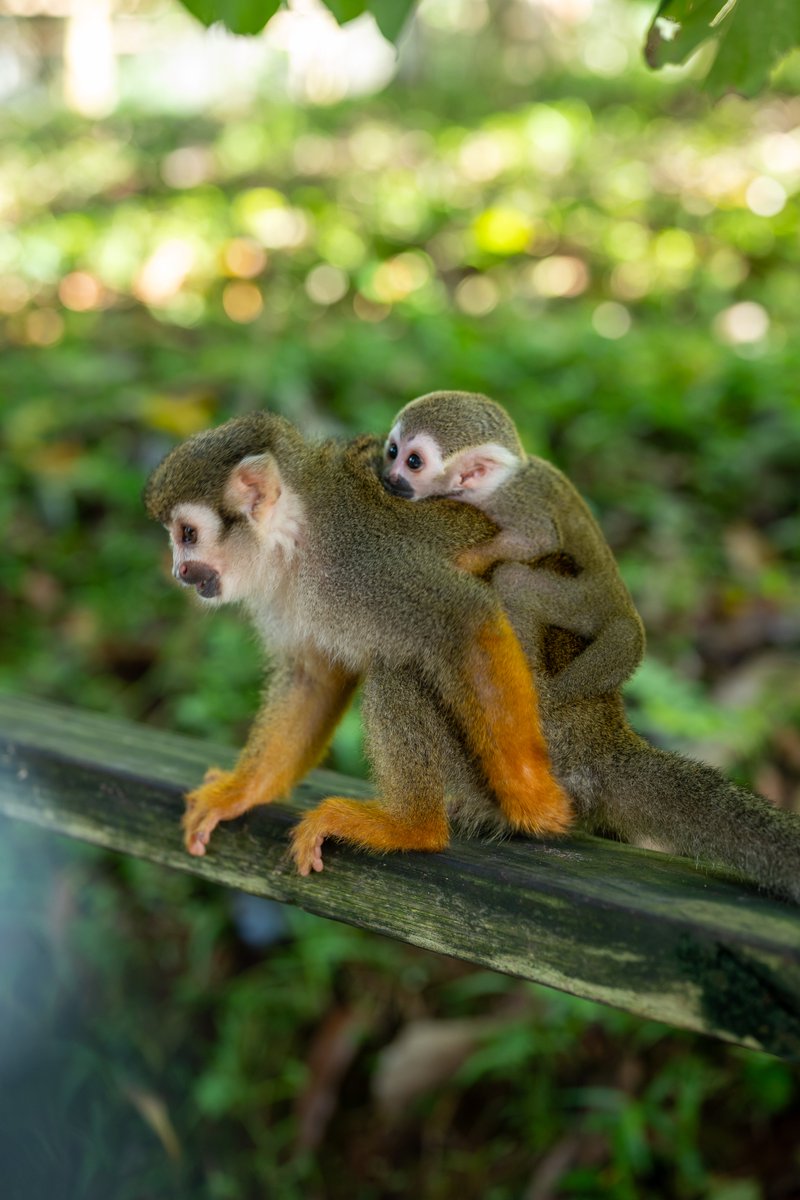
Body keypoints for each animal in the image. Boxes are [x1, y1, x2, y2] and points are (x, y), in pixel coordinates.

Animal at [144, 413, 572, 875]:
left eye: (187, 534)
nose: (179, 571)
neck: (299, 537)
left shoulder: (363, 562)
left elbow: (466, 619)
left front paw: (535, 799)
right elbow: (313, 678)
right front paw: (239, 792)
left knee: (400, 665)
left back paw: (413, 828)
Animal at [382, 390, 645, 707]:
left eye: (413, 461)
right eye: (393, 451)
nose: (389, 477)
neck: (495, 485)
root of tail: (622, 604)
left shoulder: (513, 502)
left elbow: (540, 539)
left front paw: (468, 560)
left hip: (582, 601)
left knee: (514, 580)